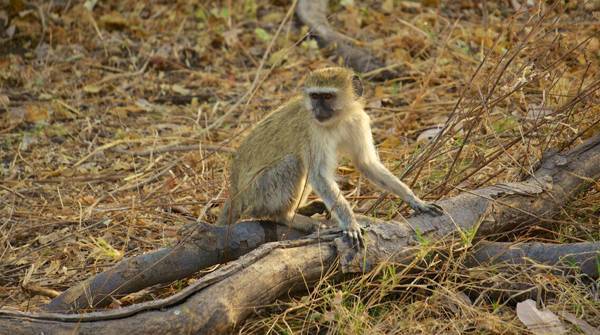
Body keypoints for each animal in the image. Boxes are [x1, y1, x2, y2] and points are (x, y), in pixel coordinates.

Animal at [218, 67, 442, 247]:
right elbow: (319, 175)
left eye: (326, 97)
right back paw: (287, 216)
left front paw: (415, 200)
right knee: (294, 163)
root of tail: (235, 194)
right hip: (258, 193)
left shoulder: (358, 120)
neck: (338, 120)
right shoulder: (313, 130)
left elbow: (366, 163)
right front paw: (350, 223)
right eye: (315, 96)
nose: (317, 109)